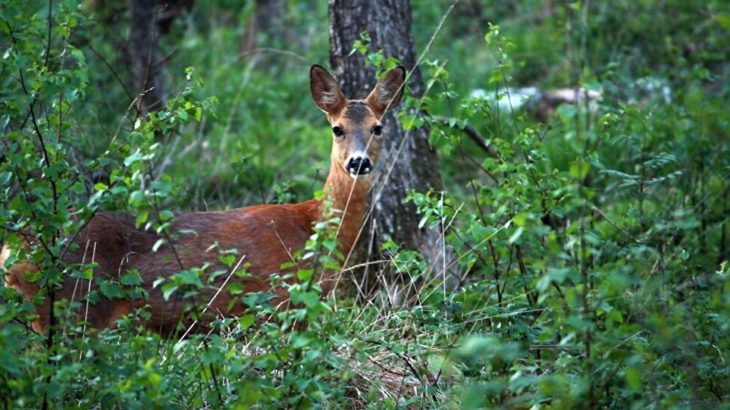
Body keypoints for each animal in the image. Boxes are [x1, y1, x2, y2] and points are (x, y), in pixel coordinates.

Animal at [1, 63, 404, 334]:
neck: (313, 229)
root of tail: (13, 248)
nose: (359, 162)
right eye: (337, 129)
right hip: (70, 309)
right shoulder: (274, 305)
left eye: (378, 127)